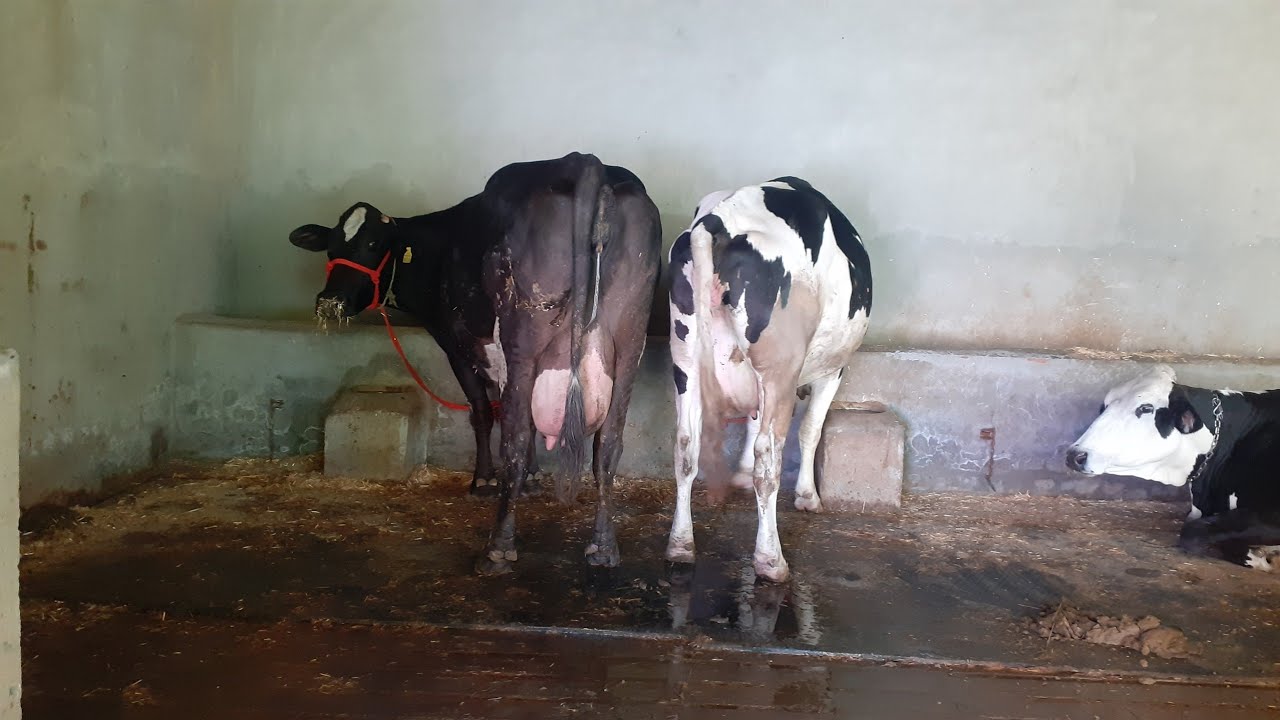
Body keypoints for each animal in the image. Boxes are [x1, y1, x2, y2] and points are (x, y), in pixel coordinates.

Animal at [290, 153, 661, 573]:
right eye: (330, 246)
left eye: (372, 243)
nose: (329, 301)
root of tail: (584, 161)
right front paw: (535, 478)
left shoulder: (459, 348)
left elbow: (483, 413)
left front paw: (483, 481)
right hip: (629, 346)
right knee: (607, 446)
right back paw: (604, 546)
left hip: (523, 340)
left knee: (514, 439)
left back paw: (498, 548)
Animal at [665, 177, 872, 583]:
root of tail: (718, 218)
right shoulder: (832, 370)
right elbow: (810, 431)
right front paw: (808, 496)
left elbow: (751, 420)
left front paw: (741, 474)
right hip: (780, 366)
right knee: (769, 457)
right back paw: (770, 560)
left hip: (685, 358)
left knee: (685, 446)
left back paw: (680, 546)